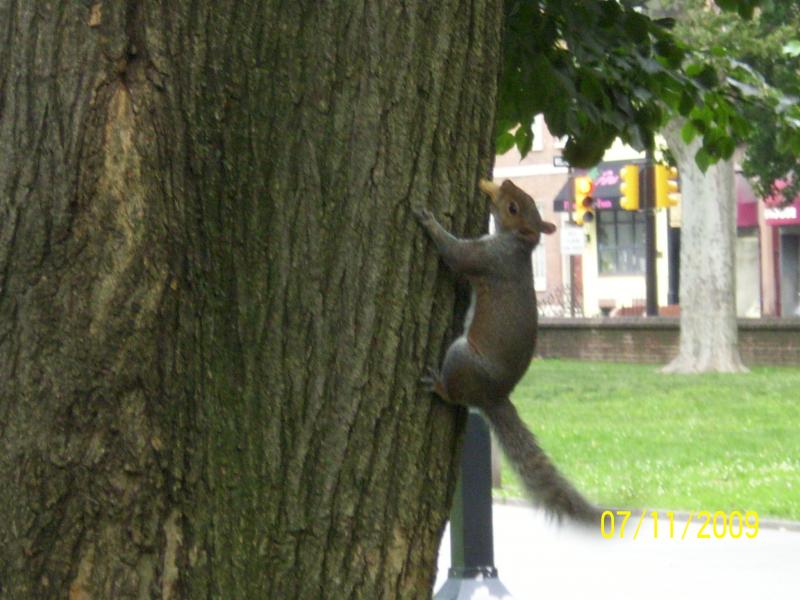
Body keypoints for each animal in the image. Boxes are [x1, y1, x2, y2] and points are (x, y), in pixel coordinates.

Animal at [415, 178, 602, 525]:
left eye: (514, 207)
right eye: (521, 198)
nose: (505, 182)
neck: (518, 245)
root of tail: (493, 396)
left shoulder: (487, 258)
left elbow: (456, 254)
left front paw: (429, 220)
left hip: (461, 357)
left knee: (454, 394)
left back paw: (438, 385)